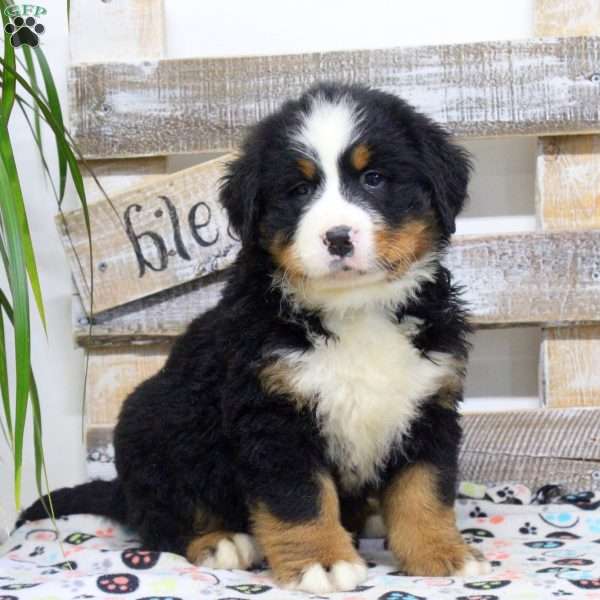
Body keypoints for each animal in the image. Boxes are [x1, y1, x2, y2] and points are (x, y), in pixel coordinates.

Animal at [23, 84, 492, 596]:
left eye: (374, 179)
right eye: (300, 190)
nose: (338, 238)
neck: (356, 309)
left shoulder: (429, 400)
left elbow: (424, 490)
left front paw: (442, 553)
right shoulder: (271, 415)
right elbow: (301, 497)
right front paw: (323, 561)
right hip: (150, 428)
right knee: (157, 518)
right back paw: (220, 541)